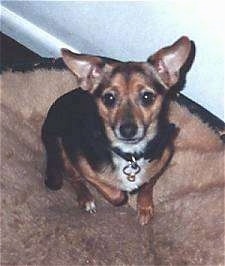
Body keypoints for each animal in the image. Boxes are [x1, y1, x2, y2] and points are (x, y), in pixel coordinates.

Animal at [41, 36, 192, 225]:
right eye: (109, 98)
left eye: (147, 97)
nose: (127, 130)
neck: (131, 155)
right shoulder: (82, 164)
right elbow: (116, 194)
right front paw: (123, 194)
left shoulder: (165, 154)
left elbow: (148, 183)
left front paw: (144, 206)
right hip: (59, 145)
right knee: (72, 176)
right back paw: (85, 198)